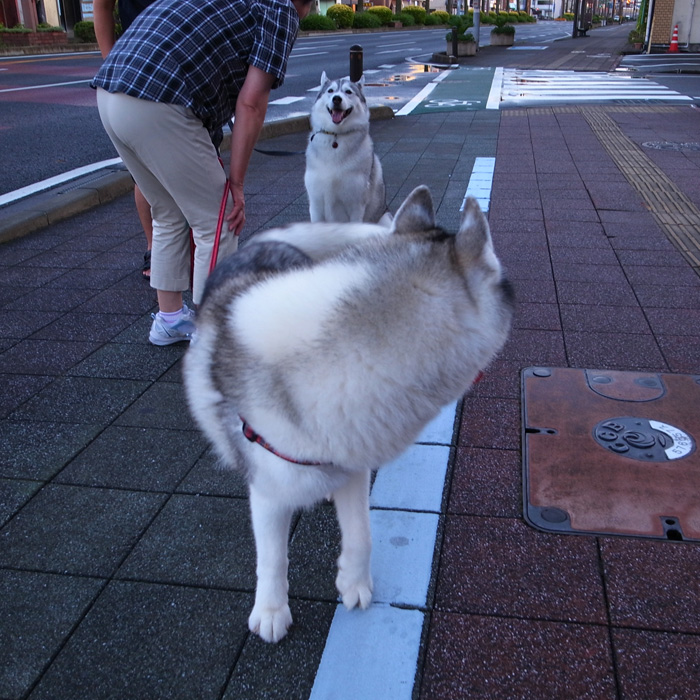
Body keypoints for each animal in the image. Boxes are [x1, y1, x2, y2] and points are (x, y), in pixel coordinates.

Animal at [183, 187, 516, 644]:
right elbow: (272, 558)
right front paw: (271, 610)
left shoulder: (353, 462)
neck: (347, 355)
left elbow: (362, 534)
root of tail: (261, 243)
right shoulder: (268, 490)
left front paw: (354, 583)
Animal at [304, 71, 388, 224]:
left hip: (385, 218)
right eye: (330, 91)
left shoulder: (356, 206)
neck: (336, 137)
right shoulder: (315, 204)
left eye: (348, 92)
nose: (337, 99)